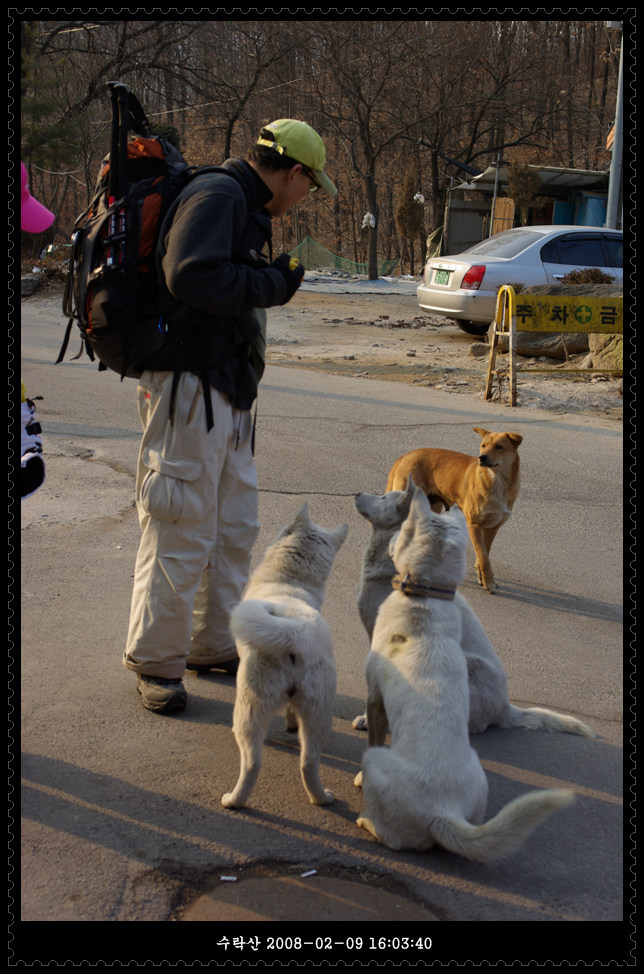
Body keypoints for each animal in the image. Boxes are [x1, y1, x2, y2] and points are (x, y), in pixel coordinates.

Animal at [220, 508, 348, 812]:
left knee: (252, 763)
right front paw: (290, 725)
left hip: (250, 706)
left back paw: (233, 801)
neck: (290, 582)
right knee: (309, 763)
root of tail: (294, 632)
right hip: (319, 713)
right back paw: (321, 798)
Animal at [384, 428, 520, 596]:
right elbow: (483, 556)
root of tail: (405, 456)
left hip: (431, 508)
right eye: (483, 446)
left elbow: (484, 554)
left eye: (499, 447)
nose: (482, 457)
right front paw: (489, 582)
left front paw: (482, 577)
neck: (498, 481)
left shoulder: (492, 527)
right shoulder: (474, 525)